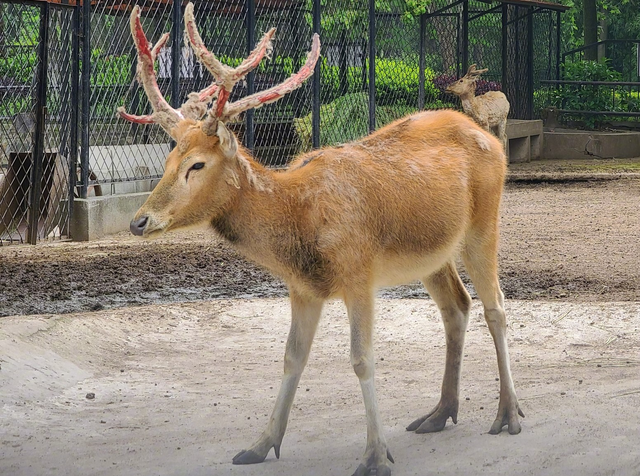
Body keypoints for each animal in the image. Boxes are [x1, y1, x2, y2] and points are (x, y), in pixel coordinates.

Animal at [117, 4, 524, 476]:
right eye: (168, 159)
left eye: (196, 164)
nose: (139, 221)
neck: (300, 226)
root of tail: (487, 136)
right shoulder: (303, 287)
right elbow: (292, 356)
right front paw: (260, 444)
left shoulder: (359, 273)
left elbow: (362, 359)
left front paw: (375, 455)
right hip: (433, 254)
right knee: (457, 307)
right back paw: (440, 413)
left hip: (484, 222)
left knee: (496, 307)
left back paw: (509, 414)